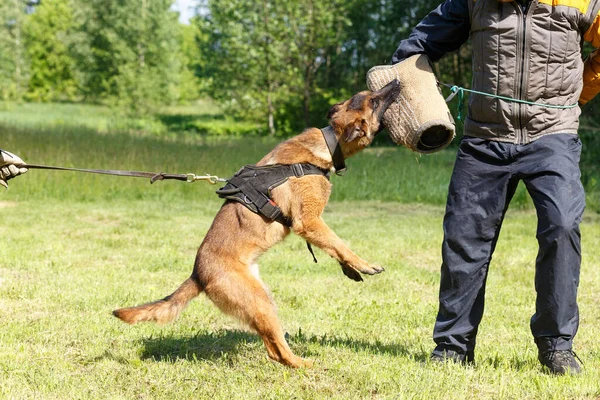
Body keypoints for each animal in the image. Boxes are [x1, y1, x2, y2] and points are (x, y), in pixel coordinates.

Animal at [114, 80, 400, 368]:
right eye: (374, 101)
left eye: (368, 95)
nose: (396, 83)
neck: (327, 144)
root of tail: (197, 274)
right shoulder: (308, 221)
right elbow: (340, 243)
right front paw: (364, 264)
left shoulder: (310, 225)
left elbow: (332, 245)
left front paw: (350, 269)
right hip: (259, 301)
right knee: (278, 350)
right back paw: (304, 364)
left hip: (261, 298)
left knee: (271, 346)